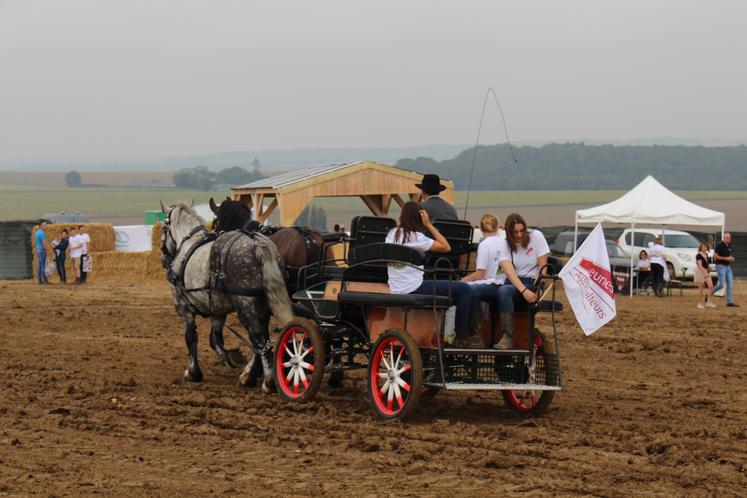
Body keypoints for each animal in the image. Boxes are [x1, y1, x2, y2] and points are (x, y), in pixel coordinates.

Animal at [162, 202, 294, 392]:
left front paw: (193, 373)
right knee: (261, 339)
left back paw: (268, 382)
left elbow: (191, 338)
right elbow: (215, 339)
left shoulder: (184, 309)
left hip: (245, 305)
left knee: (259, 338)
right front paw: (229, 357)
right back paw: (248, 376)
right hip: (263, 307)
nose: (164, 256)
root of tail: (259, 245)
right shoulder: (218, 311)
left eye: (163, 228)